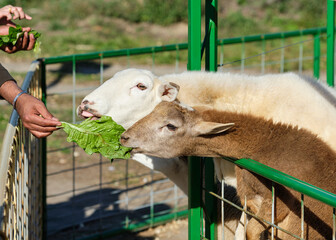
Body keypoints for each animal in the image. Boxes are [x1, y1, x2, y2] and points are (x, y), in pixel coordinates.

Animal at [121, 100, 336, 239]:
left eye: (171, 126)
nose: (124, 137)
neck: (263, 145)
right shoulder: (250, 204)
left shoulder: (279, 202)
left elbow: (251, 231)